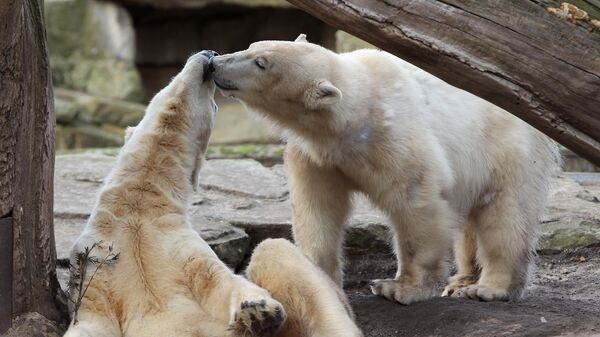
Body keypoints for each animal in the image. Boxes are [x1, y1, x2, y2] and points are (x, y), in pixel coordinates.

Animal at [63, 50, 360, 336]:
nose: (209, 53)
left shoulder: (184, 249)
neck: (138, 203)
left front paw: (257, 312)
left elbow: (219, 282)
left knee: (275, 252)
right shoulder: (97, 262)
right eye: (215, 105)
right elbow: (92, 317)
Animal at [211, 34, 564, 302]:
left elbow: (416, 203)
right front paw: (314, 277)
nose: (215, 62)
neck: (351, 118)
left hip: (505, 149)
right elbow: (317, 210)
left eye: (261, 63)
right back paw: (462, 280)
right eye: (252, 46)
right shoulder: (318, 156)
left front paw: (400, 288)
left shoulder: (392, 139)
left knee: (503, 215)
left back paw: (489, 288)